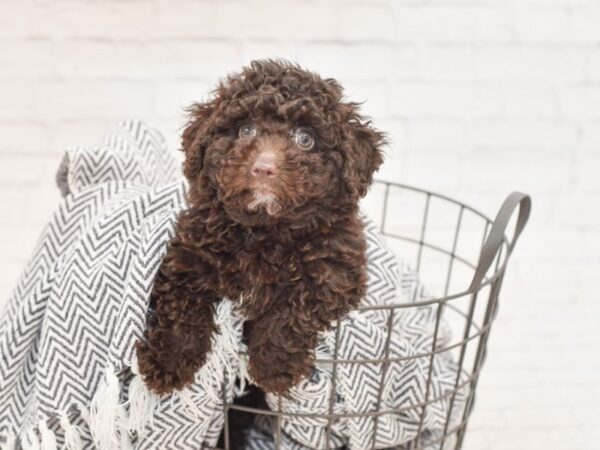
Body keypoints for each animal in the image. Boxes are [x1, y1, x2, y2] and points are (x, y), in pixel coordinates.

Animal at [136, 59, 384, 394]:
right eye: (245, 130)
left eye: (305, 138)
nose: (263, 168)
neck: (266, 230)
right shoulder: (188, 257)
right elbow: (180, 307)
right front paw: (167, 362)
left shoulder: (334, 275)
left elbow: (292, 311)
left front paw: (272, 369)